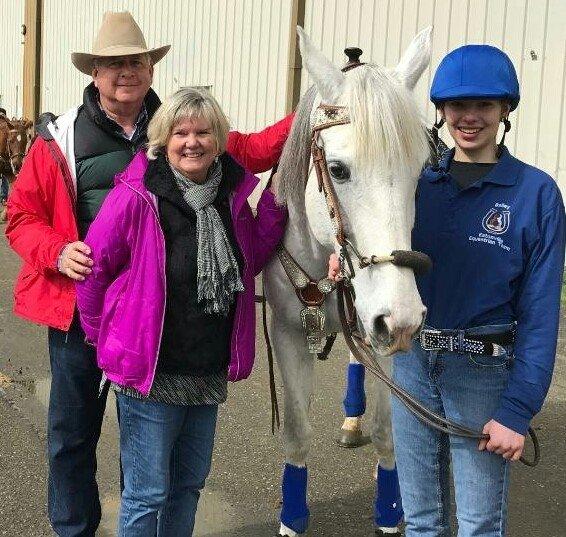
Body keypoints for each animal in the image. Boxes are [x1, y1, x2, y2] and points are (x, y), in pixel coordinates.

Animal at [266, 26, 434, 536]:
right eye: (338, 170)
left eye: (420, 172)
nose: (400, 317)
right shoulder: (288, 332)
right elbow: (297, 433)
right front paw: (292, 516)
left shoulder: (387, 332)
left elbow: (387, 430)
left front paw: (389, 512)